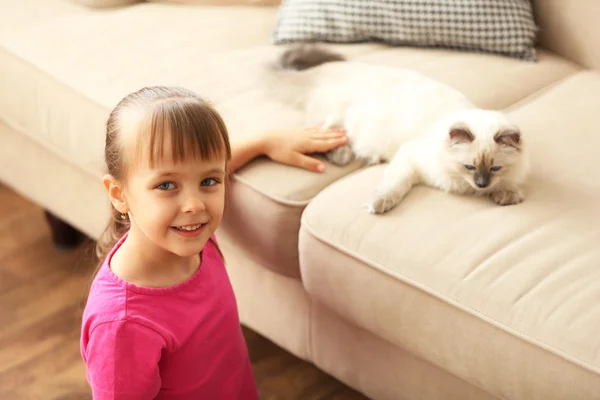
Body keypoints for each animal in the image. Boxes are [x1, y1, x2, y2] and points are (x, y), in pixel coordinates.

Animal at [268, 44, 528, 212]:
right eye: (470, 167)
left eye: (495, 168)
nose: (481, 184)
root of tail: (322, 71)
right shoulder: (410, 160)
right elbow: (395, 186)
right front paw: (379, 203)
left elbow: (508, 183)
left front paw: (506, 194)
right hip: (342, 116)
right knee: (328, 131)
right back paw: (342, 155)